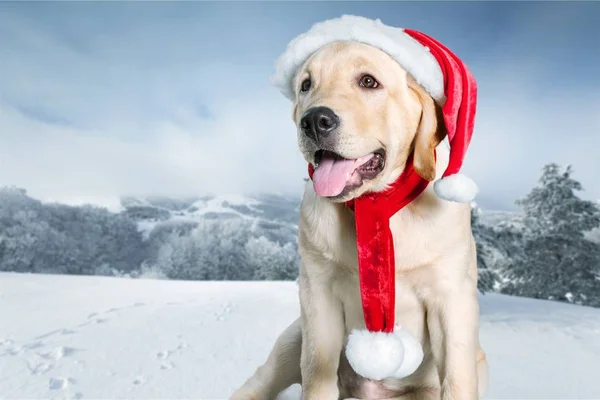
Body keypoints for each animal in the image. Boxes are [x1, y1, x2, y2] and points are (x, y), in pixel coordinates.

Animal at [230, 41, 488, 400]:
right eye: (306, 85)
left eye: (368, 82)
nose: (314, 121)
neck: (375, 205)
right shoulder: (317, 294)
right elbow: (317, 375)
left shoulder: (451, 299)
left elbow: (457, 378)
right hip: (292, 340)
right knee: (261, 380)